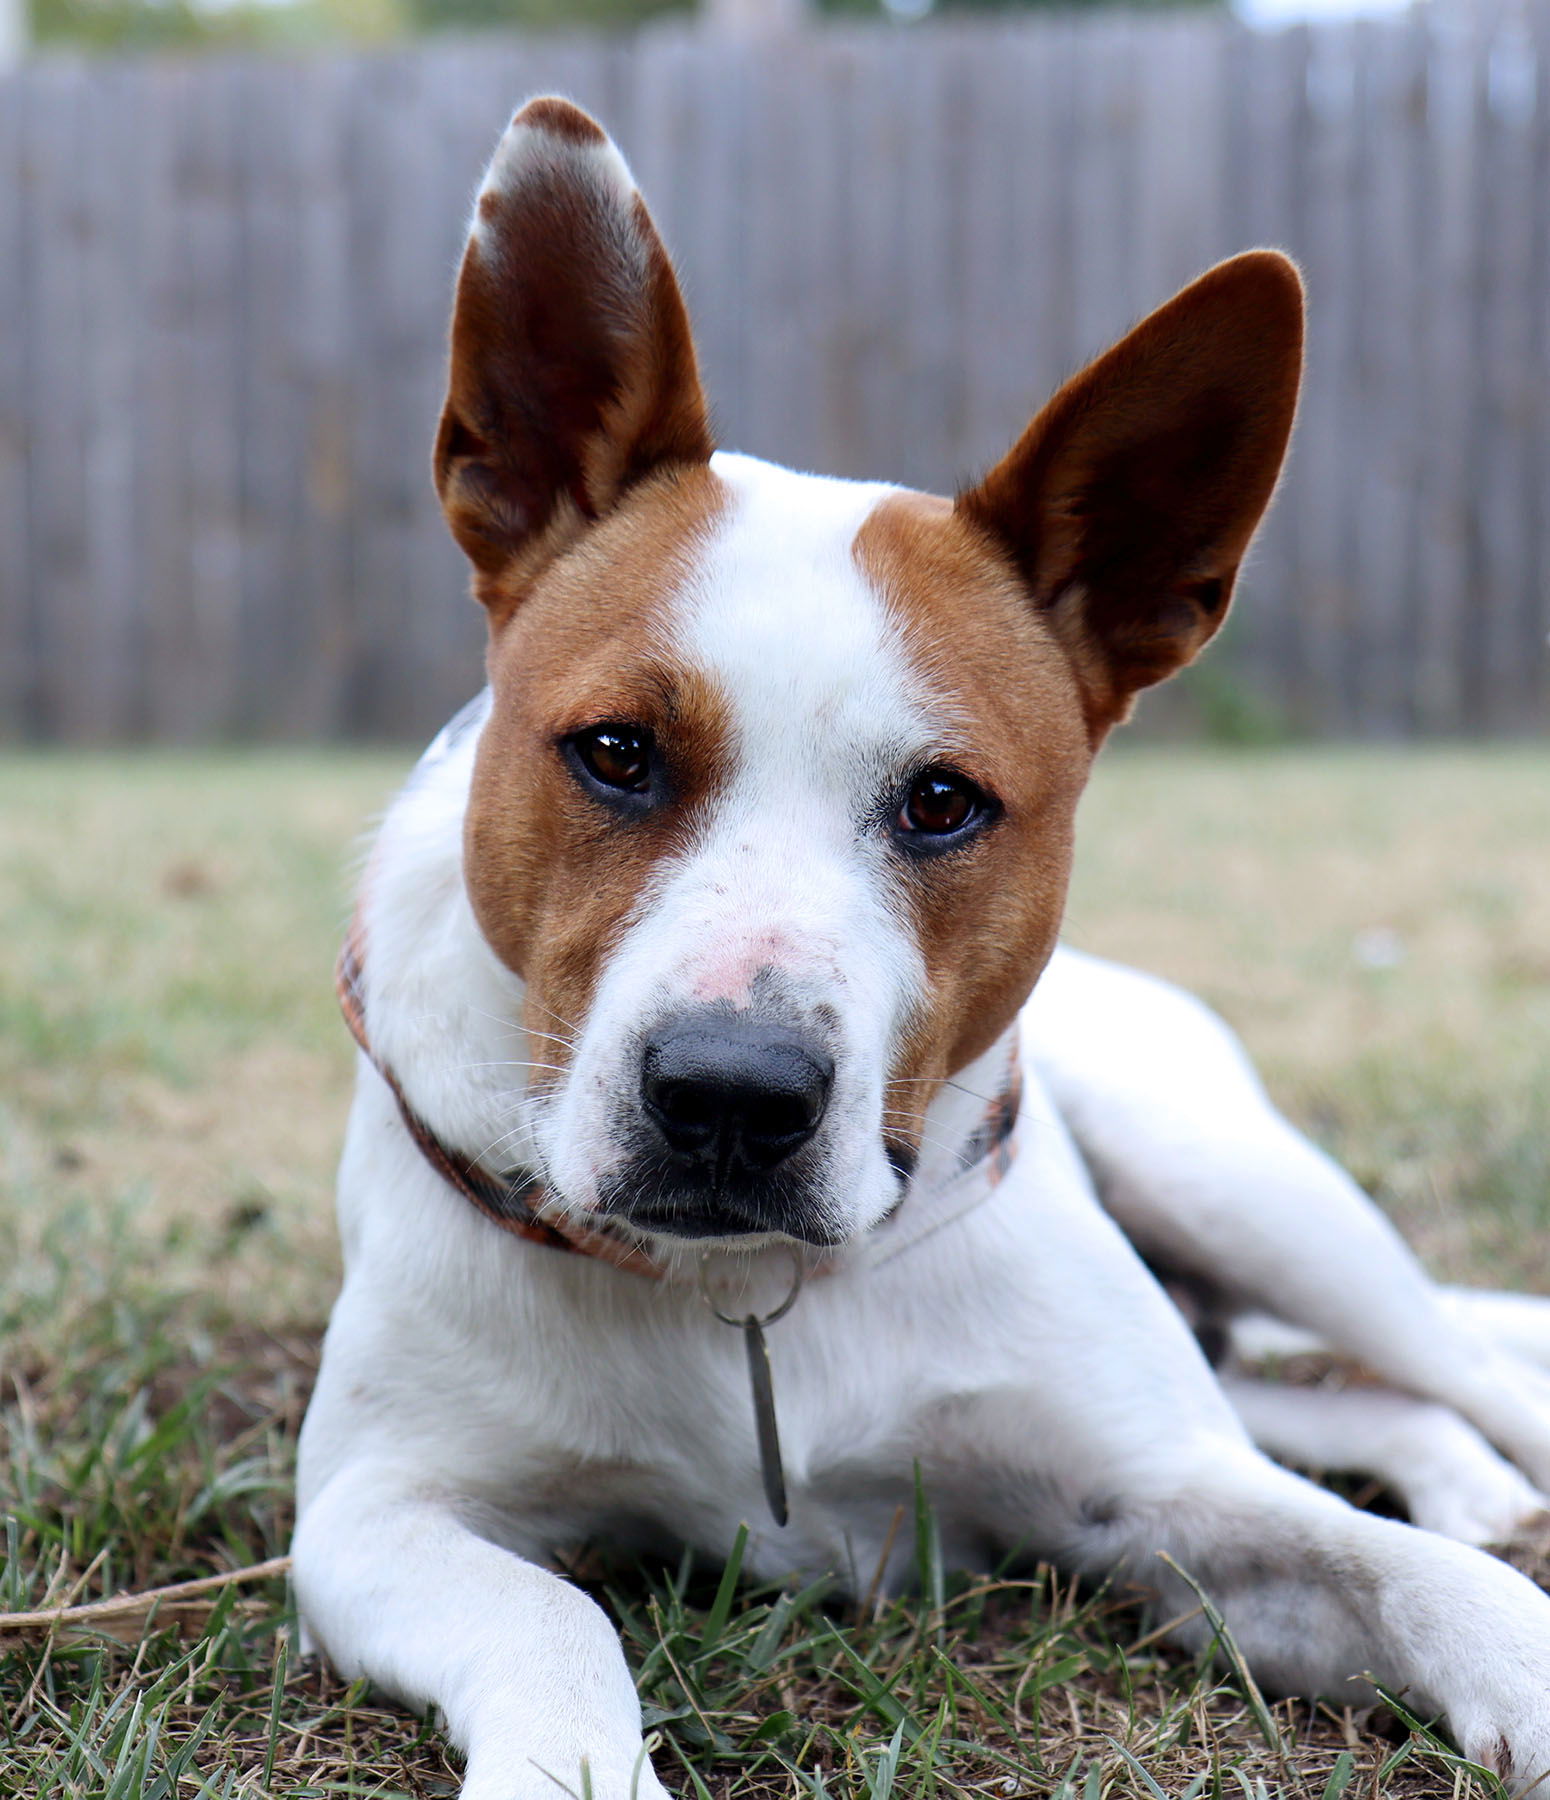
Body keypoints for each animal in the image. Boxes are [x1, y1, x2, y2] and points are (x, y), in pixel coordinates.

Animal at [289, 94, 1548, 1800]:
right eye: (615, 753)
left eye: (942, 802)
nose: (729, 1099)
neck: (753, 1300)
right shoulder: (376, 1513)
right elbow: (555, 1620)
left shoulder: (1162, 1492)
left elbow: (1418, 1576)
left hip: (1248, 1192)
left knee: (1448, 1370)